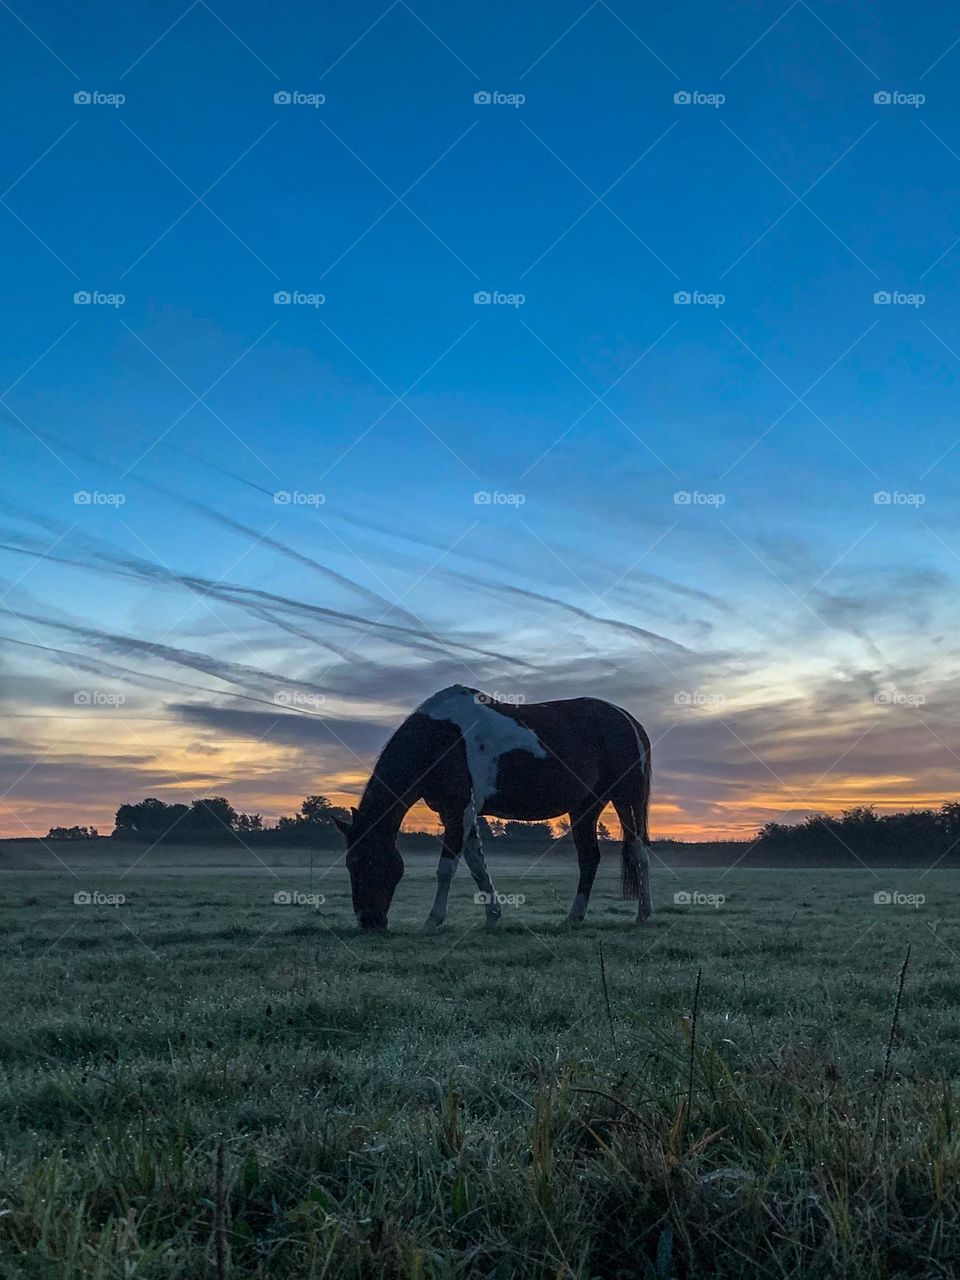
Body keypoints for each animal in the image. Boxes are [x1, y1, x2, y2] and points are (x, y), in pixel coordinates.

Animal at [330, 691, 655, 931]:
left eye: (366, 862)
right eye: (349, 864)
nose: (369, 922)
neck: (442, 738)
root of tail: (629, 721)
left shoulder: (458, 810)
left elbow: (446, 868)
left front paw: (432, 921)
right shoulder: (458, 813)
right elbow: (476, 864)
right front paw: (493, 917)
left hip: (627, 799)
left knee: (638, 853)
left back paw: (643, 915)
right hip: (585, 807)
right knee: (589, 859)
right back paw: (573, 918)